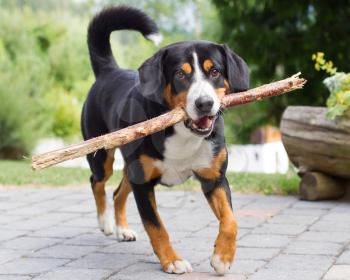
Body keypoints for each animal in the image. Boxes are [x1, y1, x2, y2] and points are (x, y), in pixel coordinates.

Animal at [81, 5, 249, 274]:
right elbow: (156, 227)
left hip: (132, 167)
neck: (182, 133)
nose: (204, 103)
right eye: (180, 74)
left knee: (118, 193)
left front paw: (223, 256)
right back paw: (105, 222)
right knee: (97, 182)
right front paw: (172, 260)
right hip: (103, 156)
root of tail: (110, 71)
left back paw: (122, 229)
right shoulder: (143, 183)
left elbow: (231, 220)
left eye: (215, 71)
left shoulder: (213, 178)